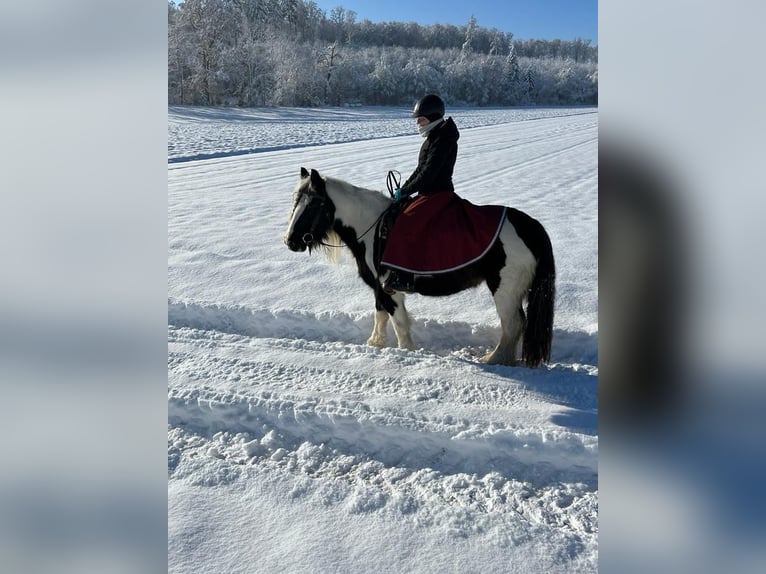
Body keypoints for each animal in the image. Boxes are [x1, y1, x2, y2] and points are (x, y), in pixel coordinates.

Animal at [284, 167, 555, 367]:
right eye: (295, 201)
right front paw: (376, 343)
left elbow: (399, 321)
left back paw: (494, 358)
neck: (373, 229)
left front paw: (406, 351)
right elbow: (380, 314)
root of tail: (530, 227)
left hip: (505, 289)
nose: (290, 241)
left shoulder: (390, 288)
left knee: (513, 323)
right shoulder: (379, 287)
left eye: (313, 205)